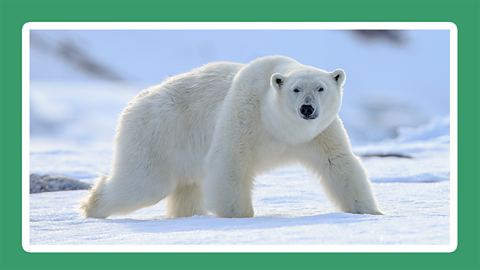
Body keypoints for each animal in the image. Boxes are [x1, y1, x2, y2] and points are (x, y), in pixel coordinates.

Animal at [81, 55, 382, 219]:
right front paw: (240, 217)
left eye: (321, 88)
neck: (279, 127)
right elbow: (229, 162)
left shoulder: (319, 134)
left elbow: (339, 164)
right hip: (157, 135)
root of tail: (134, 103)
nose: (307, 109)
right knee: (143, 183)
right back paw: (91, 207)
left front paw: (371, 212)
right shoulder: (244, 114)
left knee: (186, 188)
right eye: (296, 89)